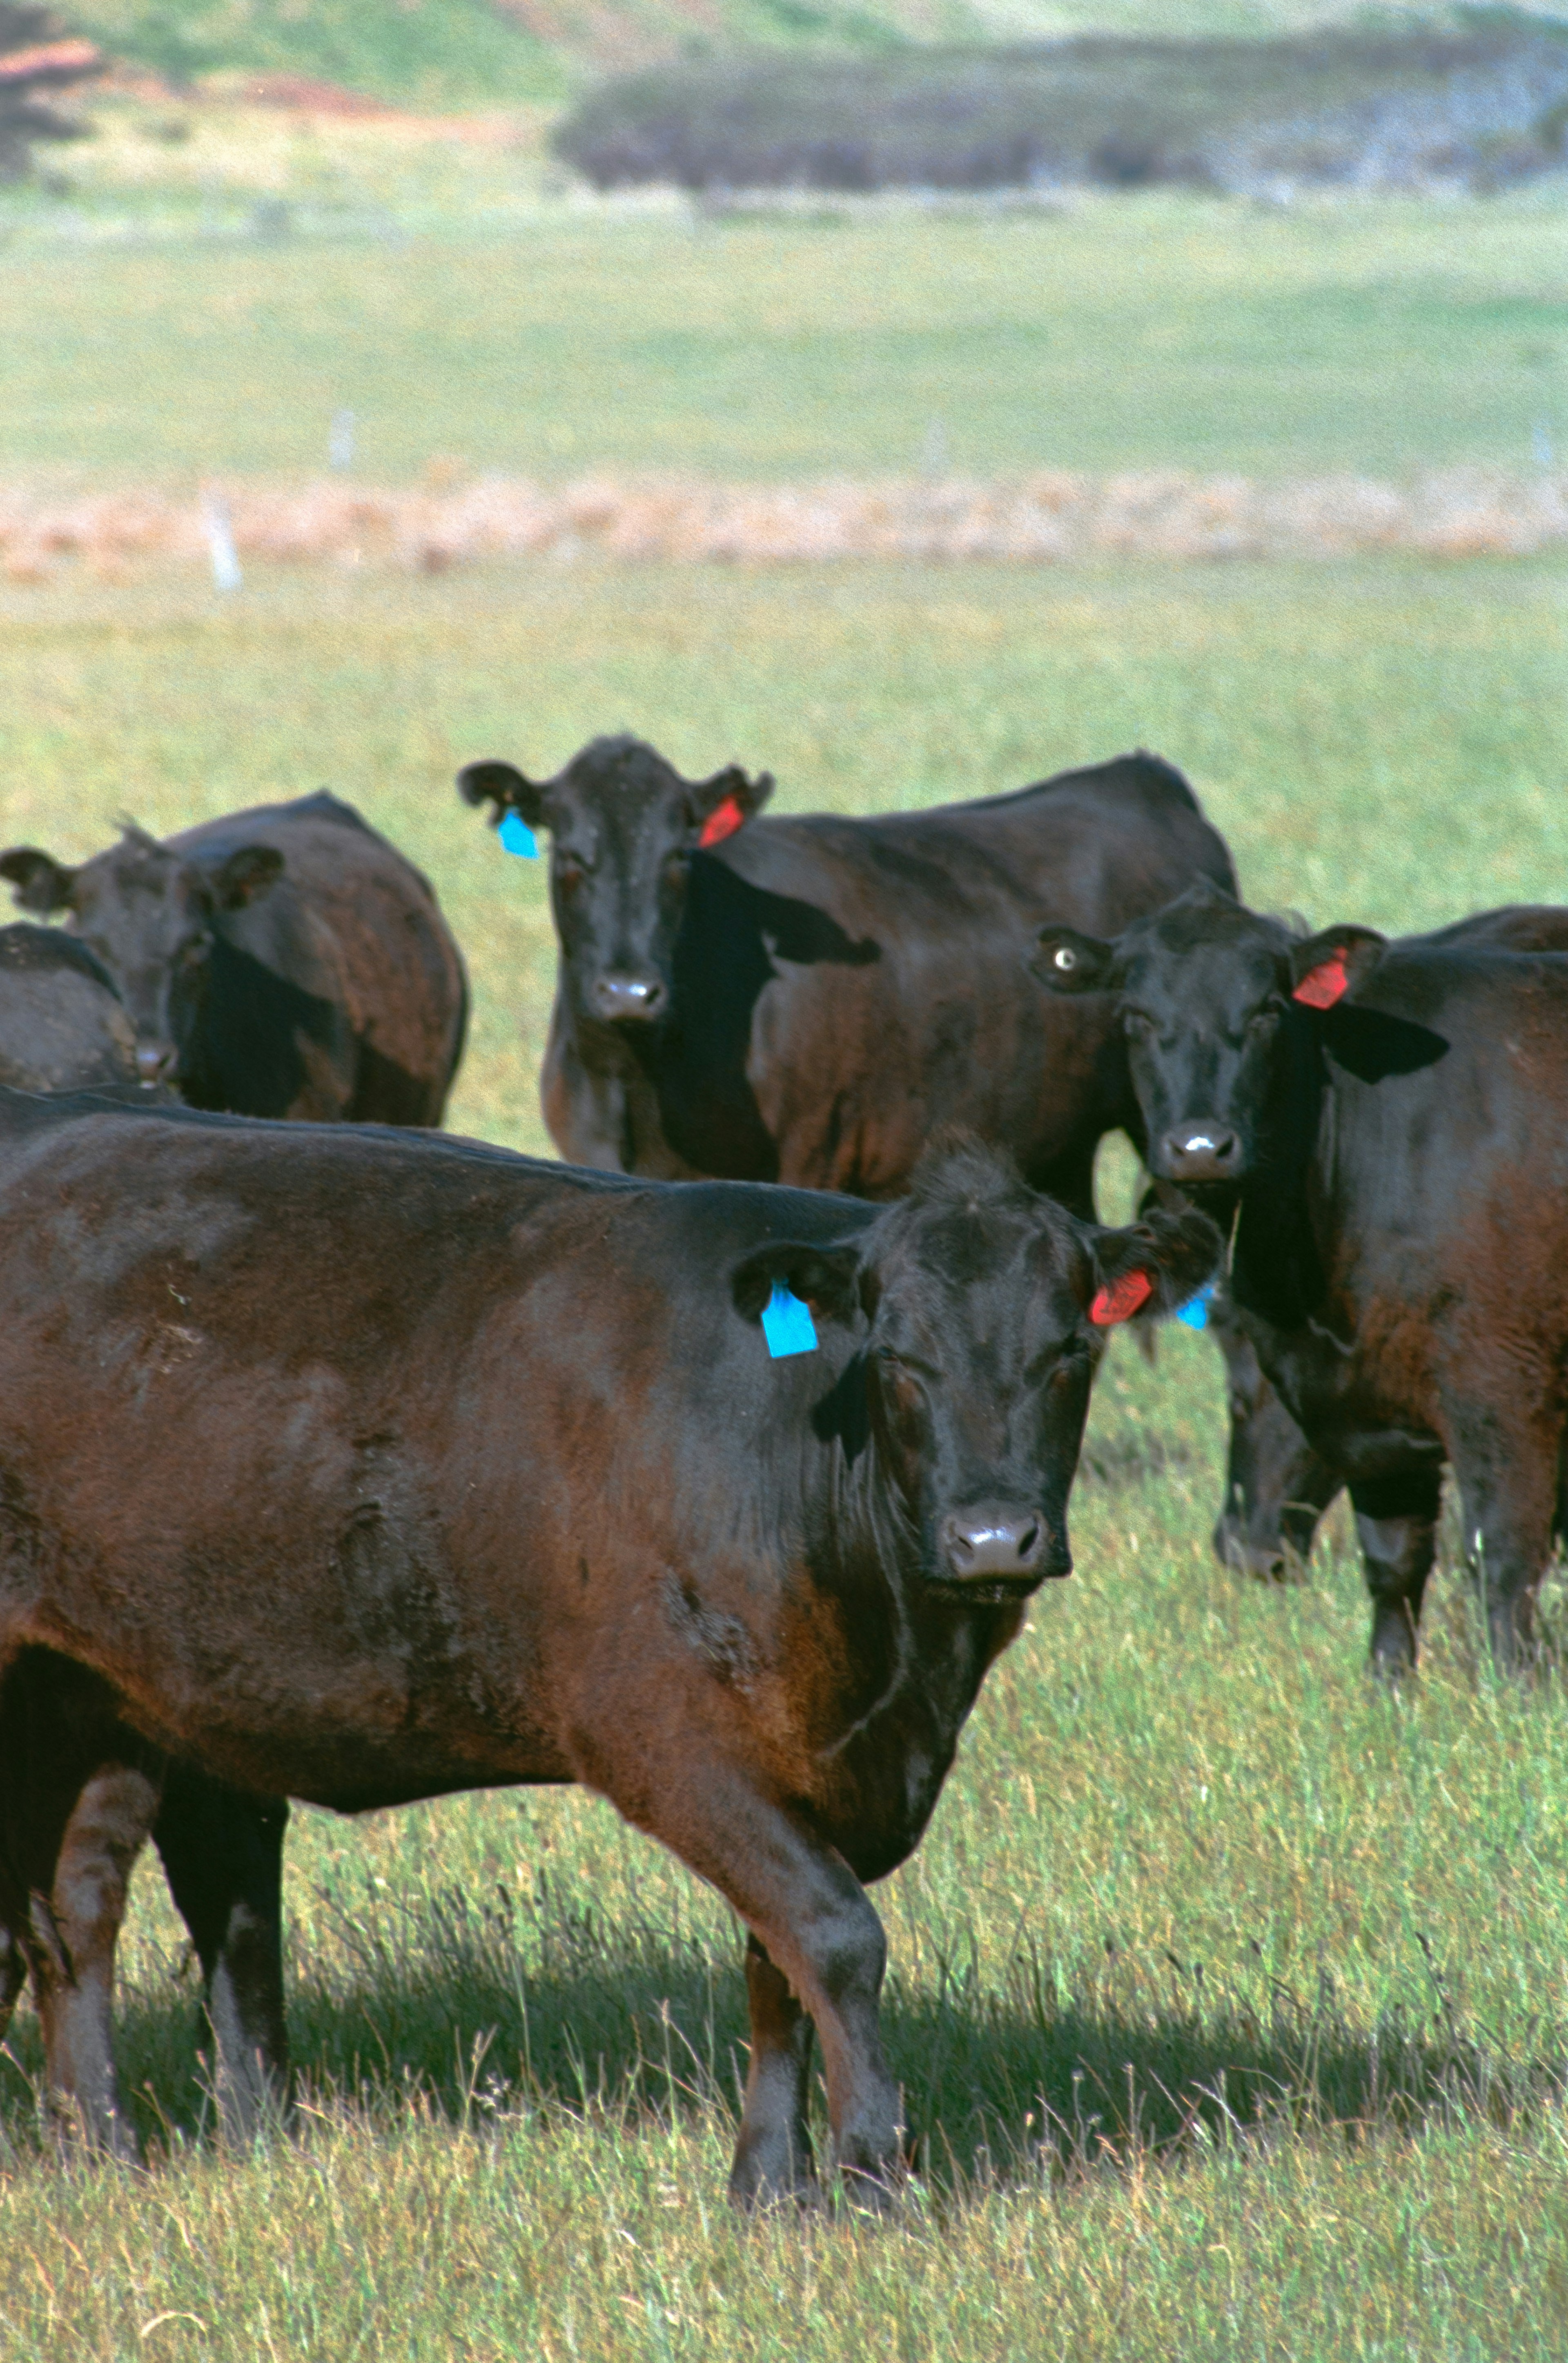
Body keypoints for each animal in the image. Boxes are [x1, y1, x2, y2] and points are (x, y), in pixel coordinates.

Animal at [0, 1087, 1218, 2193]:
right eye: (897, 1358)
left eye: (1072, 1350)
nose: (992, 1537)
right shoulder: (672, 1744)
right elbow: (833, 1936)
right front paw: (875, 2168)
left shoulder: (806, 1760)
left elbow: (775, 1964)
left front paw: (770, 2185)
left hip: (98, 1692)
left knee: (77, 1906)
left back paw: (101, 2147)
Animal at [1034, 888, 1568, 1682]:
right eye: (1134, 1015)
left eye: (1267, 1011)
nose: (1200, 1148)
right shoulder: (1366, 1408)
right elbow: (1393, 1561)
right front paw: (1388, 1686)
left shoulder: (1506, 1392)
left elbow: (1503, 1561)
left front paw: (1514, 1692)